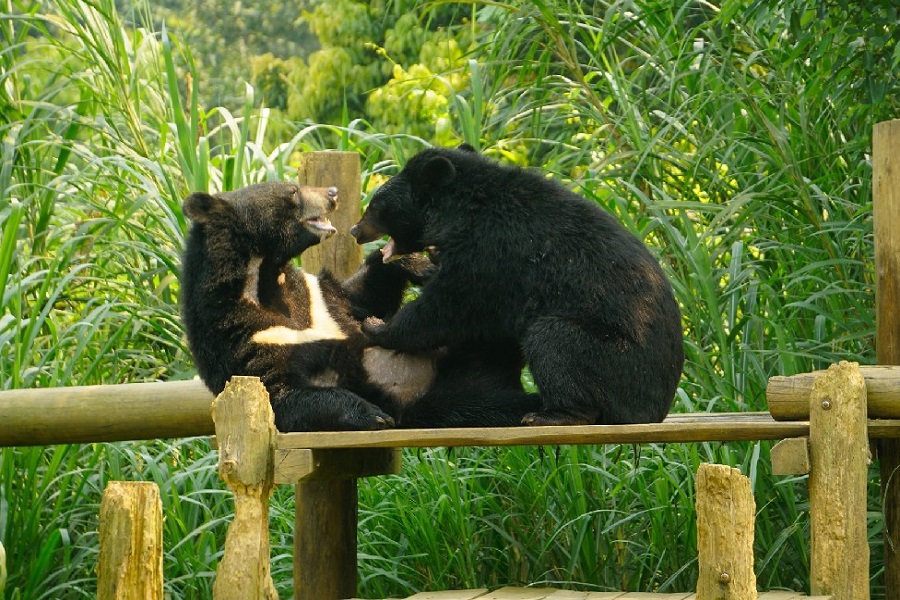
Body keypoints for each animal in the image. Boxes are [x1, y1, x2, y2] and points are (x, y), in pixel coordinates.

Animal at [180, 180, 539, 432]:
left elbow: (361, 297)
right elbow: (281, 395)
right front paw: (373, 415)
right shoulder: (245, 338)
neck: (266, 279)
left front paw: (420, 265)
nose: (333, 192)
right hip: (449, 397)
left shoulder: (316, 297)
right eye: (293, 191)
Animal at [350, 145, 684, 426]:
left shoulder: (489, 253)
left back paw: (551, 415)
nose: (354, 230)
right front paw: (416, 265)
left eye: (375, 207)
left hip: (613, 360)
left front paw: (378, 325)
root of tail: (656, 410)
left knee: (553, 340)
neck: (462, 209)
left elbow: (448, 306)